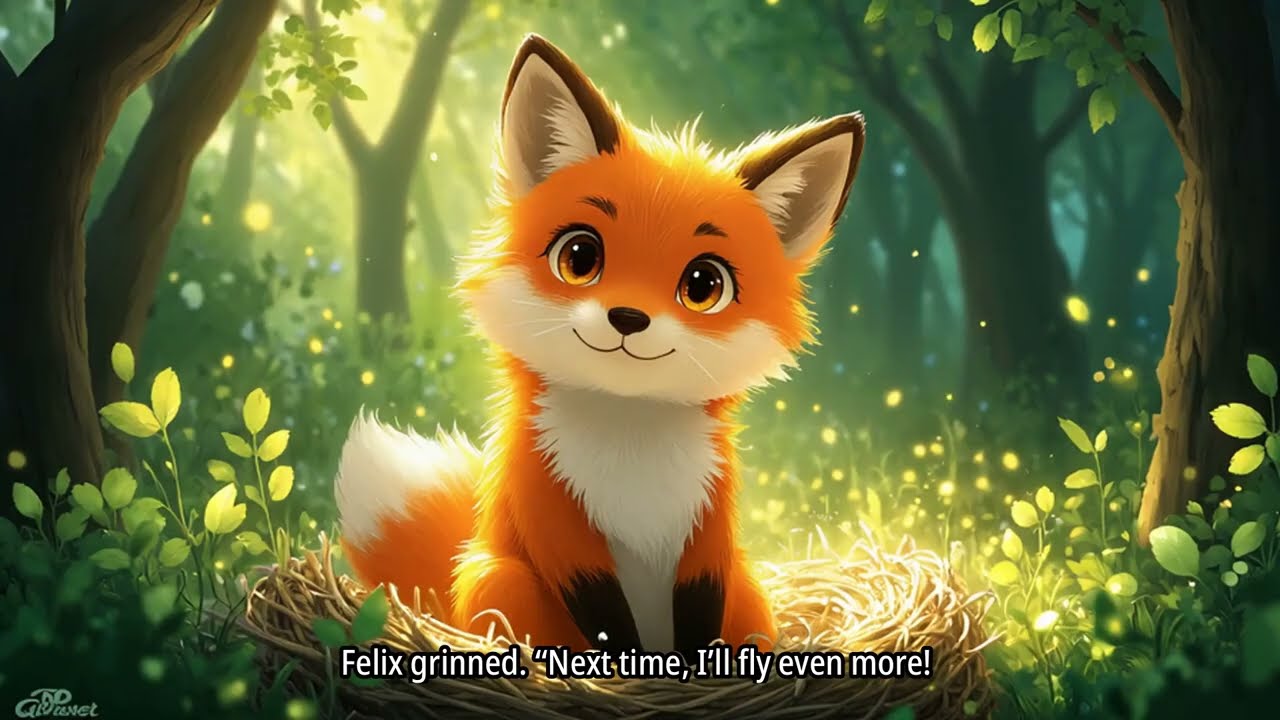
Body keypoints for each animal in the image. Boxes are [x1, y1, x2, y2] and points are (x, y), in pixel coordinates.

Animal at [334, 34, 865, 658]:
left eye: (704, 285)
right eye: (580, 257)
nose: (628, 317)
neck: (628, 444)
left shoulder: (710, 528)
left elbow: (700, 608)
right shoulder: (551, 511)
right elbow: (605, 614)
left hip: (750, 586)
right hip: (500, 578)